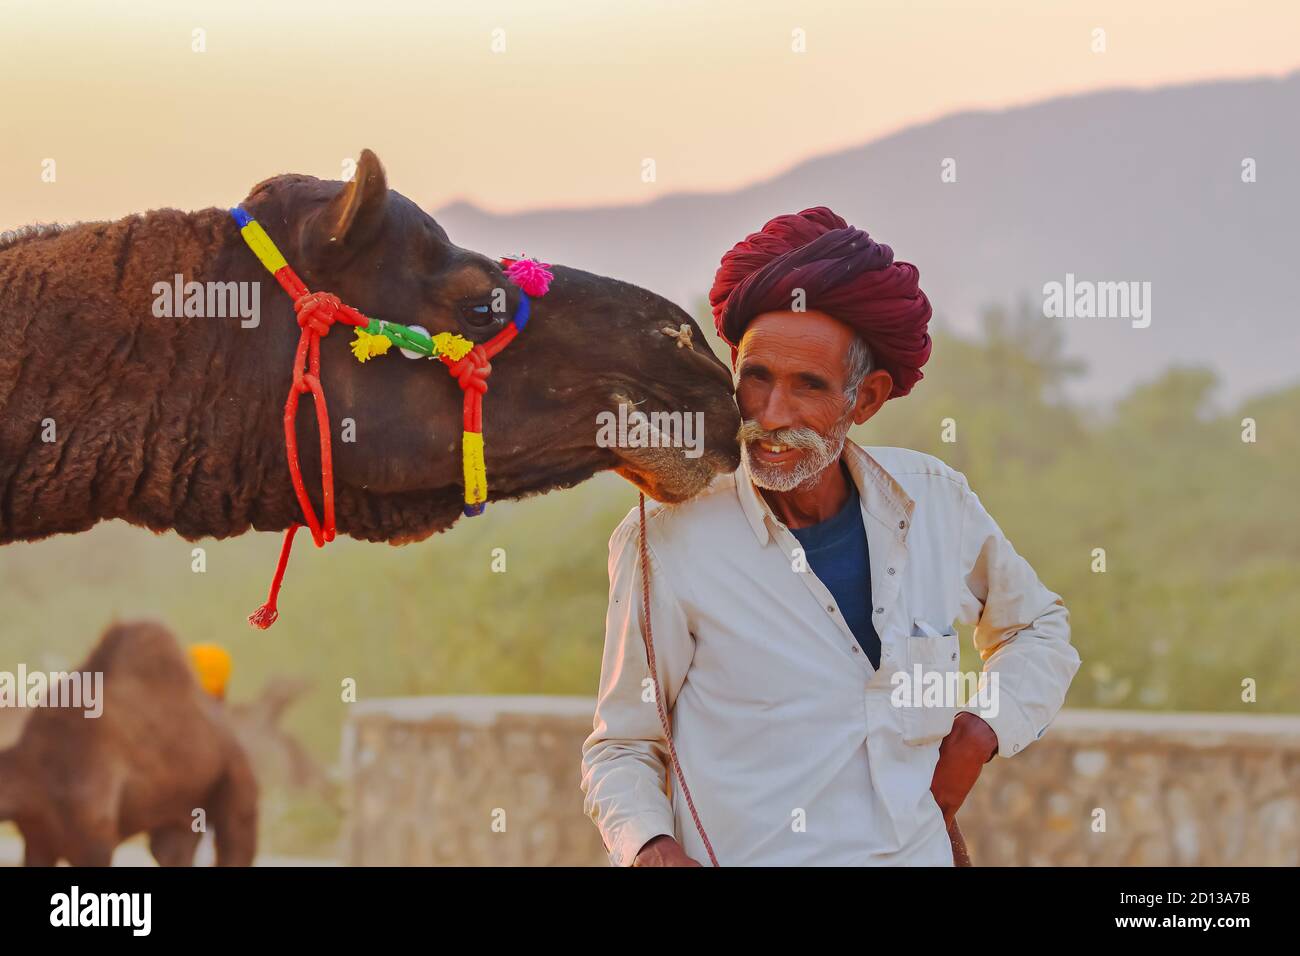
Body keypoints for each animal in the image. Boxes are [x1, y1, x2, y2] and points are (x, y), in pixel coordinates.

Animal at [0, 621, 256, 868]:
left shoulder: (95, 838)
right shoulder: (38, 840)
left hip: (235, 776)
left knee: (236, 840)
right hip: (181, 811)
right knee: (172, 850)